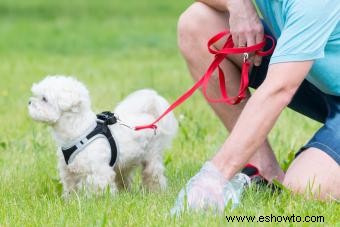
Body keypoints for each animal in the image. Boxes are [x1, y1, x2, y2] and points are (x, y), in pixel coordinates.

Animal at [28, 75, 178, 196]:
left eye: (44, 99)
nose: (29, 102)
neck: (78, 130)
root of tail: (149, 117)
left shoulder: (98, 171)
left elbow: (97, 188)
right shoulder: (68, 171)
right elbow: (70, 188)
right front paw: (70, 201)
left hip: (151, 156)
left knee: (153, 175)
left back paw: (156, 192)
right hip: (123, 164)